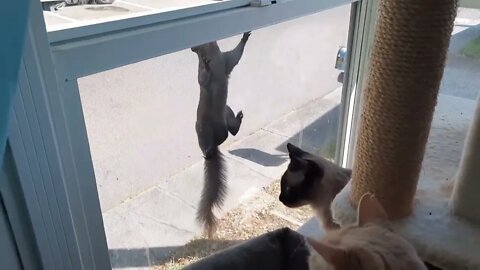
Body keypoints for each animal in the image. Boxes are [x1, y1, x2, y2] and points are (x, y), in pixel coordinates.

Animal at [190, 31, 253, 237]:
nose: (192, 47)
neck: (213, 55)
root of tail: (217, 141)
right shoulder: (208, 70)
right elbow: (202, 78)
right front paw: (205, 64)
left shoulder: (225, 60)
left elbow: (236, 55)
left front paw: (245, 36)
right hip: (203, 127)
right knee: (207, 146)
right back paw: (208, 152)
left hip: (226, 111)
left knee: (231, 130)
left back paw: (237, 120)